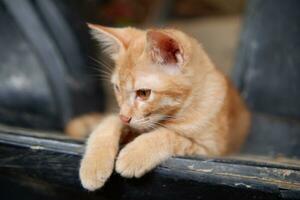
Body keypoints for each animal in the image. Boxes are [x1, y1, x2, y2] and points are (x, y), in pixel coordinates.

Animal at [78, 23, 251, 191]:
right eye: (117, 88)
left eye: (143, 93)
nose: (124, 117)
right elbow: (107, 124)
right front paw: (94, 164)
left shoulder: (210, 148)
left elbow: (169, 135)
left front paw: (135, 154)